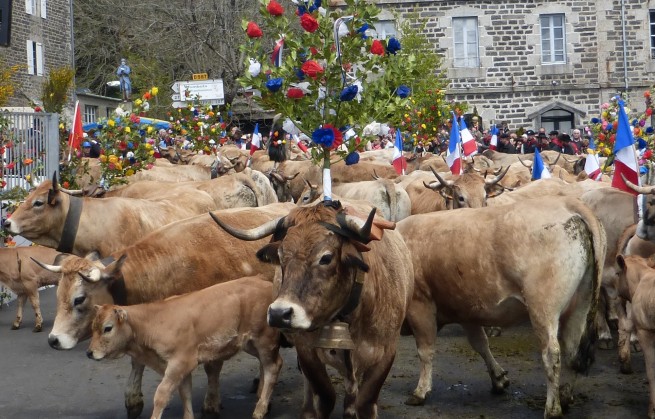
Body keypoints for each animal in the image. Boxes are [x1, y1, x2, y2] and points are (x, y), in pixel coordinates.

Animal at [87, 276, 282, 419]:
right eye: (93, 327)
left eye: (107, 328)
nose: (89, 352)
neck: (151, 323)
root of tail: (266, 283)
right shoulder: (182, 368)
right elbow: (185, 393)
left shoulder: (179, 363)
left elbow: (161, 395)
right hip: (249, 343)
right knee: (272, 365)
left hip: (265, 340)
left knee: (272, 367)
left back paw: (259, 410)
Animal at [211, 202, 416, 418]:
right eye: (281, 256)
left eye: (326, 257)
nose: (279, 314)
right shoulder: (306, 351)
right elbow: (325, 397)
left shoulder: (386, 353)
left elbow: (365, 403)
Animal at [398, 198, 608, 419]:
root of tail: (567, 203)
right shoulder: (466, 311)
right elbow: (480, 344)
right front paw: (498, 379)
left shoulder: (420, 305)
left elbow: (425, 351)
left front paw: (420, 391)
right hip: (580, 305)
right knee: (573, 351)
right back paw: (566, 397)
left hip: (543, 308)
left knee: (552, 354)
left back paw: (552, 409)